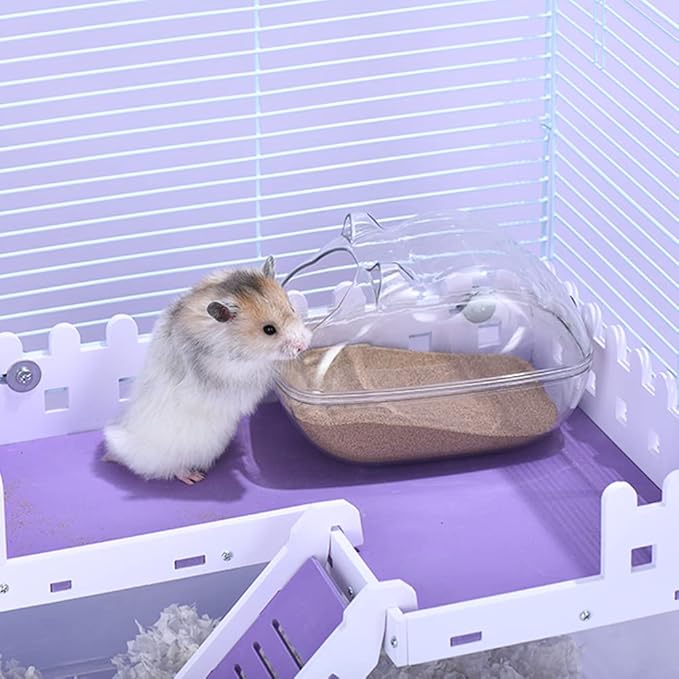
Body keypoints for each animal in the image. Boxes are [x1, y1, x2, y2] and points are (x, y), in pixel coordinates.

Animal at [103, 256, 311, 484]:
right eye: (269, 330)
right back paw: (193, 477)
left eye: (291, 308)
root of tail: (124, 447)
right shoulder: (235, 373)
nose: (303, 346)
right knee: (168, 469)